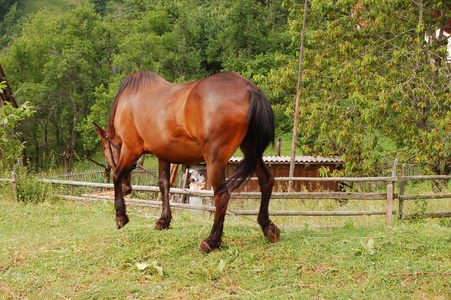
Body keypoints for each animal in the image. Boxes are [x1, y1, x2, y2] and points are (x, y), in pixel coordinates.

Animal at [93, 71, 278, 253]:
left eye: (104, 151)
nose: (127, 189)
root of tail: (249, 88)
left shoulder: (131, 149)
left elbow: (117, 175)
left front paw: (120, 216)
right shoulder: (163, 155)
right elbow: (164, 185)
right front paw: (164, 221)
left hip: (215, 159)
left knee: (222, 196)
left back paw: (211, 241)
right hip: (251, 150)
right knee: (266, 180)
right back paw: (268, 227)